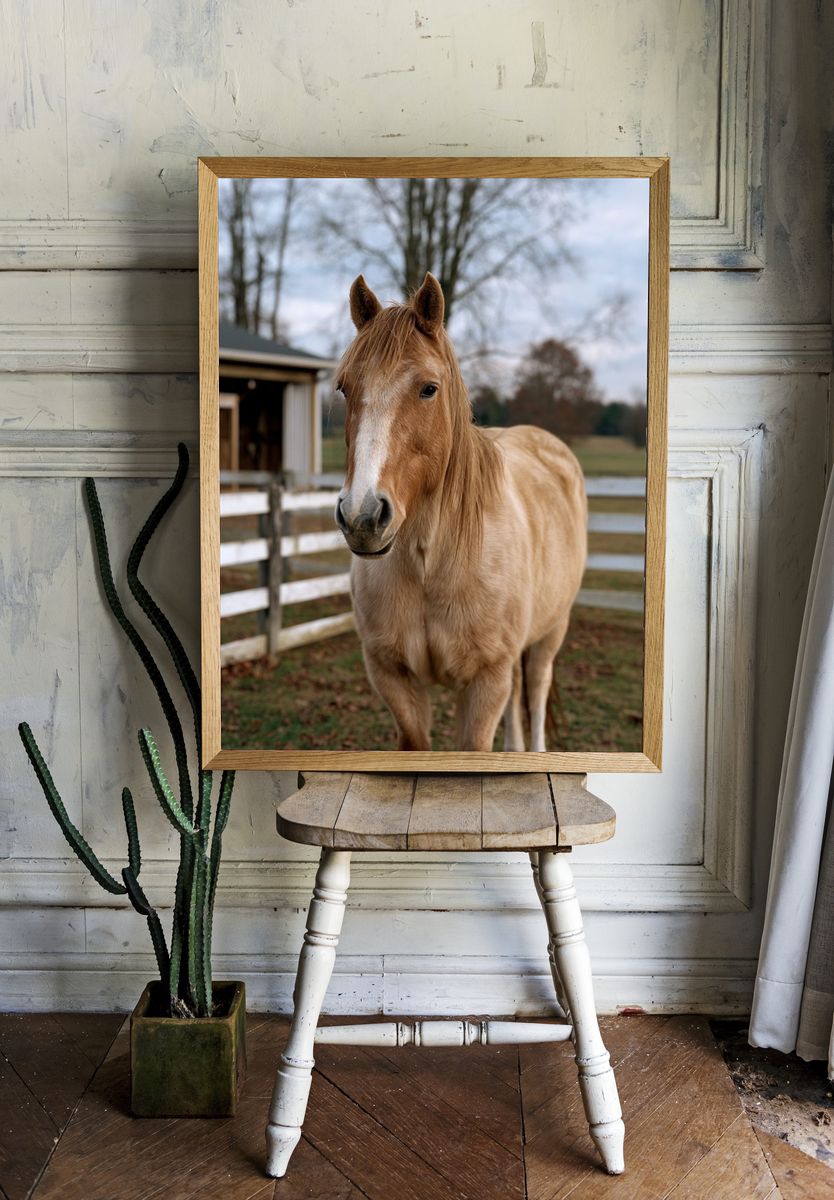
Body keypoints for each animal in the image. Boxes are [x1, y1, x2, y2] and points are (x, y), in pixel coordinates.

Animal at [334, 271, 587, 753]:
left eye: (429, 388)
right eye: (344, 388)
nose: (362, 517)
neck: (431, 563)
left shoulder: (486, 680)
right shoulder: (393, 677)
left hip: (551, 633)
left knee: (536, 690)